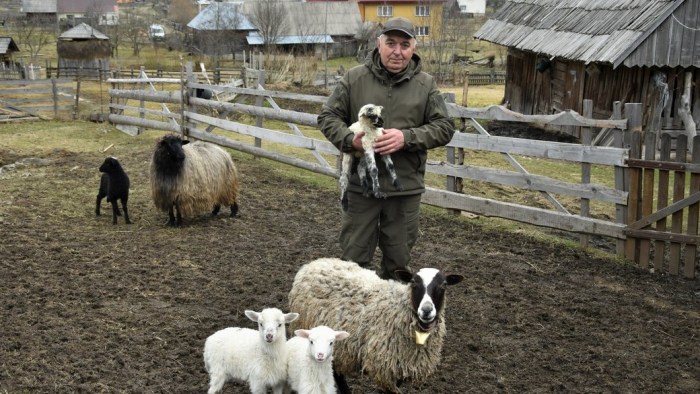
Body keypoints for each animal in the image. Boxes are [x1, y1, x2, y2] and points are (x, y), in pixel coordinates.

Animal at [288, 258, 464, 392]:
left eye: (444, 285)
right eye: (413, 283)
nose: (426, 310)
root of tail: (314, 263)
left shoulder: (400, 366)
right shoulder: (385, 367)